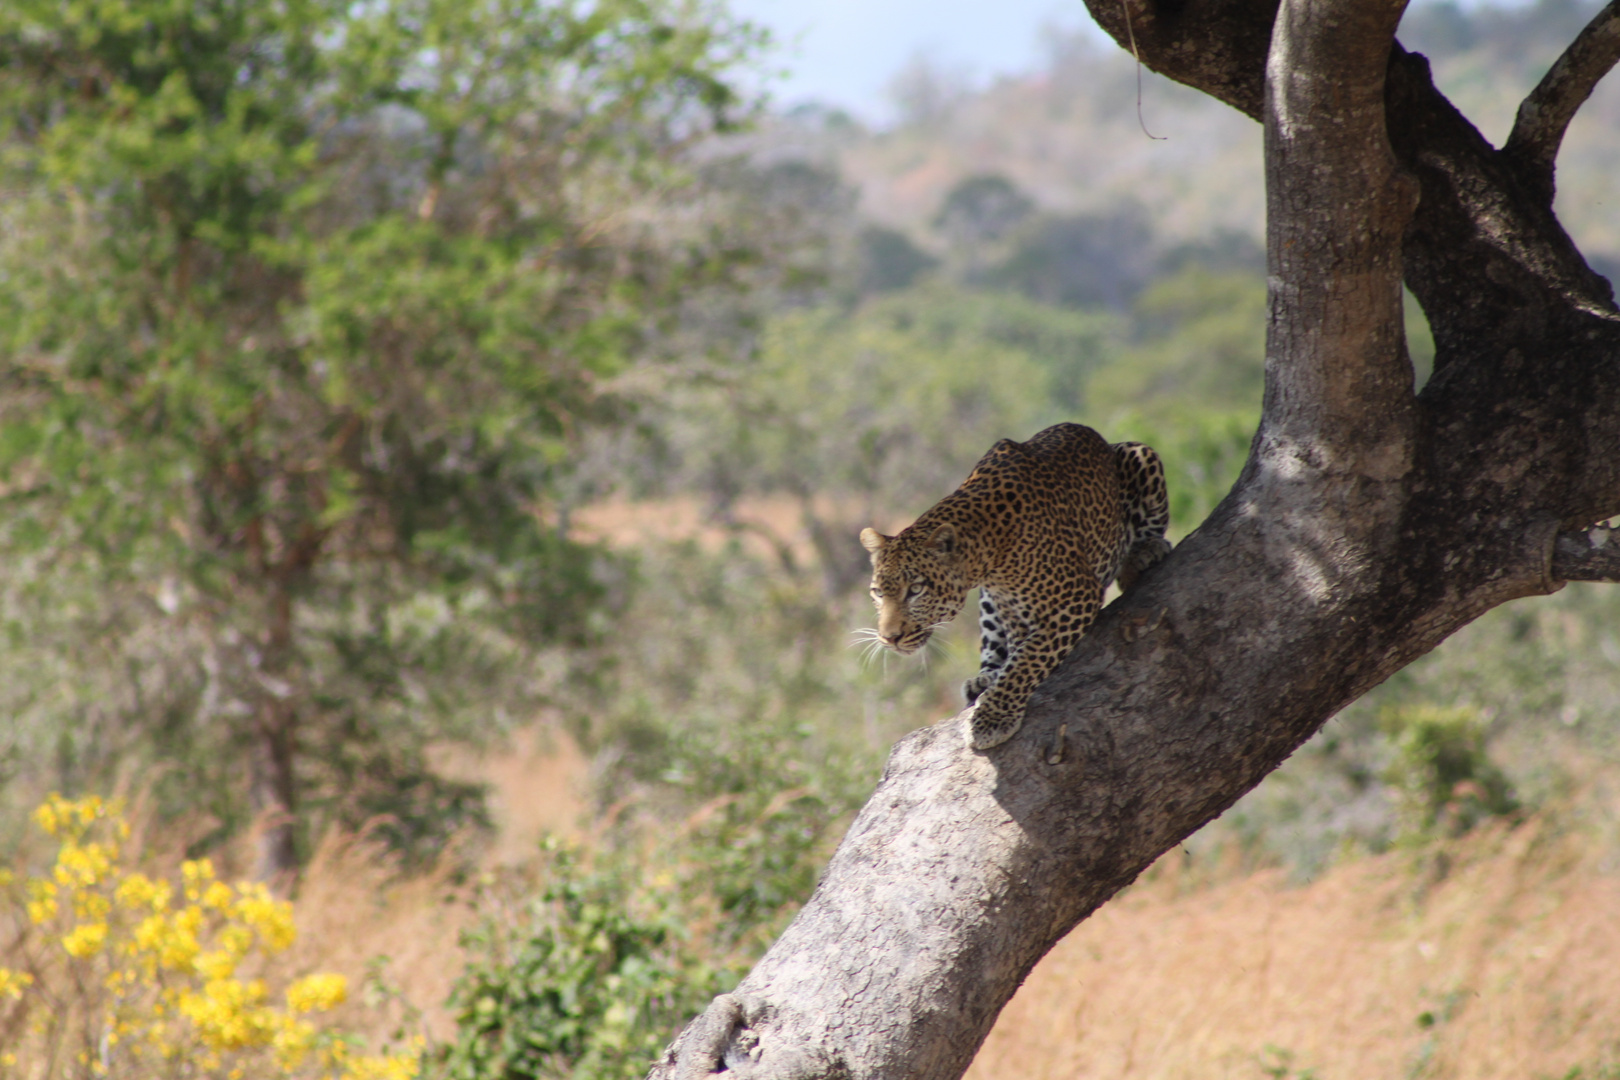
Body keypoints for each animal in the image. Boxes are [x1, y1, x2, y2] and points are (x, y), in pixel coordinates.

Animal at [861, 420, 1166, 751]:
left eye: (916, 590)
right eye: (878, 593)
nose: (889, 638)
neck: (989, 552)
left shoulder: (1077, 597)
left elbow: (1027, 661)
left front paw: (992, 720)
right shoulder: (1012, 611)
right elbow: (1018, 656)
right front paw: (996, 691)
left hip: (1138, 453)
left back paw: (1145, 553)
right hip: (987, 604)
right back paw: (982, 679)